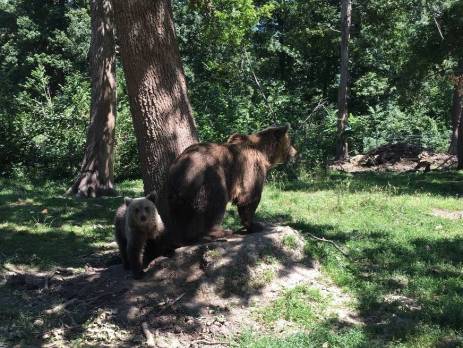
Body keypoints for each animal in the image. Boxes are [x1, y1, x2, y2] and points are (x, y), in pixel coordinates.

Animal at [167, 124, 298, 245]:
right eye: (290, 142)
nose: (295, 152)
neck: (264, 154)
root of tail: (183, 172)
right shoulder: (251, 169)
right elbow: (249, 198)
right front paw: (255, 225)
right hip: (211, 178)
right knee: (216, 203)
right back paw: (219, 232)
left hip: (172, 191)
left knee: (179, 217)